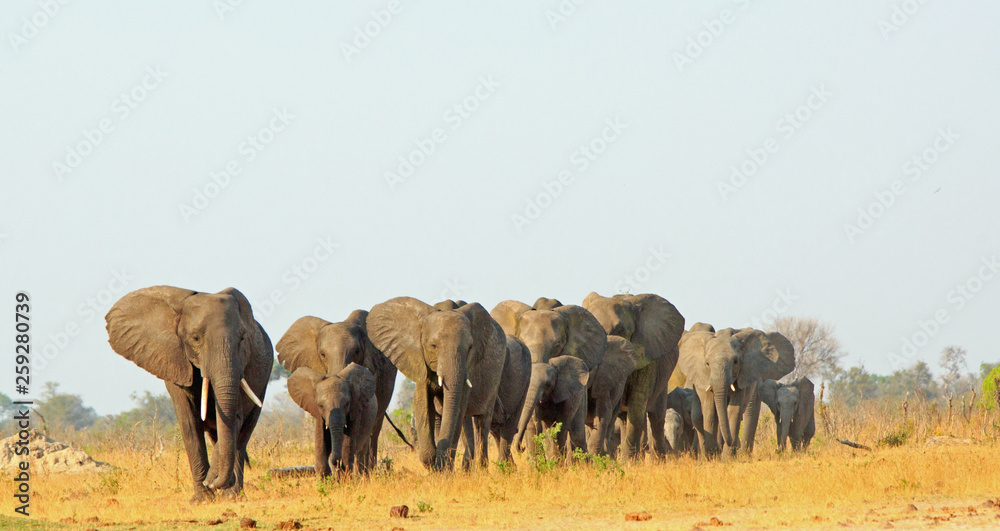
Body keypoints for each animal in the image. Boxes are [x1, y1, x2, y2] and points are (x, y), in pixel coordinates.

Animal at [105, 286, 272, 503]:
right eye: (195, 338)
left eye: (242, 339)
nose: (211, 481)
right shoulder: (174, 361)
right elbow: (189, 422)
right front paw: (203, 499)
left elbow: (235, 419)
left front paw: (212, 485)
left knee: (243, 435)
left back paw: (232, 495)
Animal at [367, 297, 506, 471]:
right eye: (433, 346)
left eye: (470, 347)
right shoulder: (419, 360)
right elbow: (422, 401)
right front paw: (434, 465)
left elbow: (458, 407)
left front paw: (443, 467)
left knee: (482, 422)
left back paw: (480, 470)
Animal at [490, 298, 607, 456]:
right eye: (523, 341)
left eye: (557, 344)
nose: (521, 448)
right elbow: (534, 424)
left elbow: (561, 426)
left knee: (577, 433)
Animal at [582, 292, 685, 459]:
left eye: (619, 329)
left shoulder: (647, 356)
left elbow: (636, 406)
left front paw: (628, 462)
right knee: (625, 419)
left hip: (663, 379)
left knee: (656, 418)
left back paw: (658, 460)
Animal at [677, 323, 795, 457]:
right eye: (707, 363)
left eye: (735, 361)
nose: (730, 442)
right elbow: (710, 410)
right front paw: (713, 455)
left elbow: (734, 410)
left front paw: (726, 457)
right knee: (699, 415)